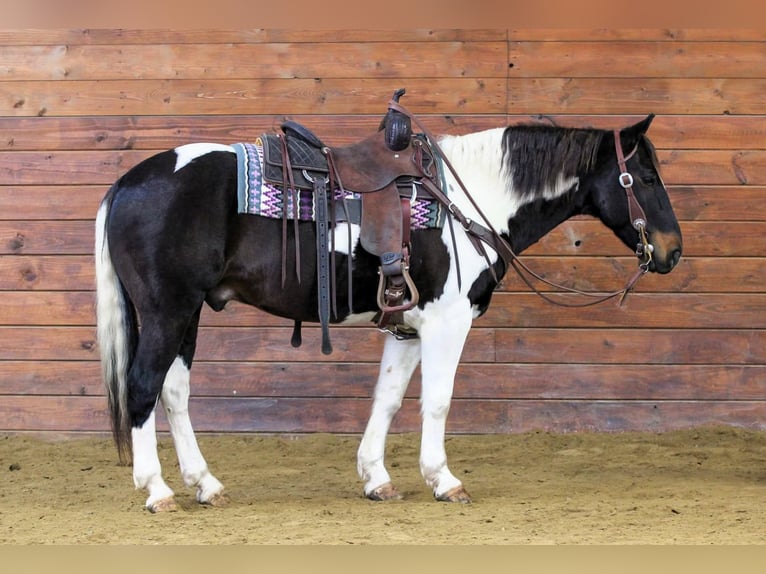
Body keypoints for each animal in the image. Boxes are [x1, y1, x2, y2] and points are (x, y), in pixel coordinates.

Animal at [95, 104, 682, 512]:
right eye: (645, 177)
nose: (673, 251)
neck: (469, 202)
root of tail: (125, 183)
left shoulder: (407, 328)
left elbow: (389, 399)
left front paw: (377, 478)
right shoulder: (448, 321)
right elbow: (437, 402)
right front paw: (444, 480)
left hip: (188, 313)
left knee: (174, 391)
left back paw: (206, 484)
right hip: (169, 310)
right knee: (144, 387)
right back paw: (157, 490)